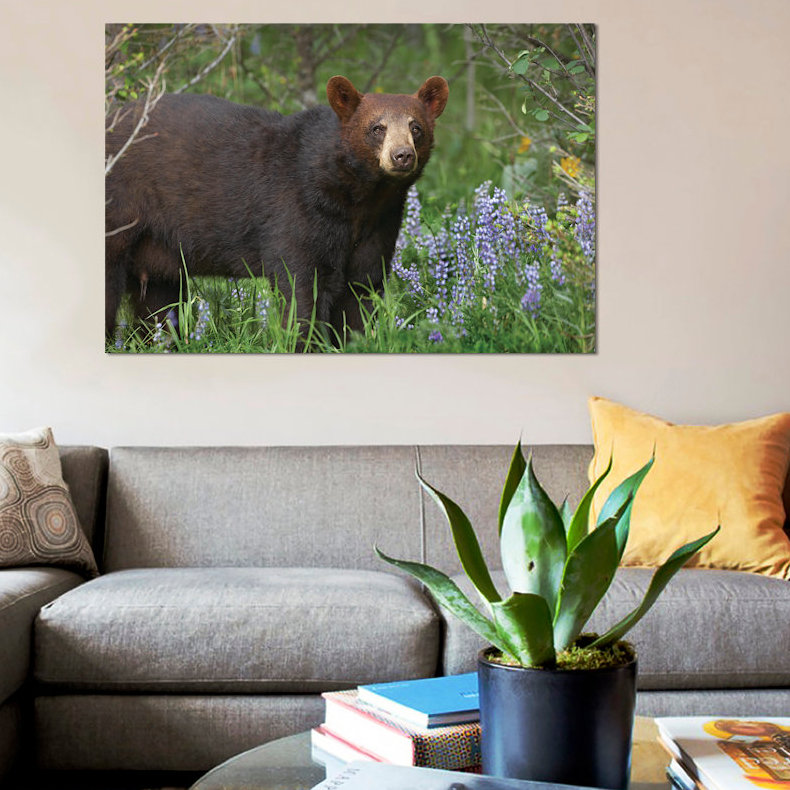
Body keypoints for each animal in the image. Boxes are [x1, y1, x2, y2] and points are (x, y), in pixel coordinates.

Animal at [105, 74, 449, 346]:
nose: (402, 155)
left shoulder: (380, 224)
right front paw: (304, 343)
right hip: (119, 211)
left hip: (156, 249)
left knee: (159, 300)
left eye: (416, 127)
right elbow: (301, 287)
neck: (358, 198)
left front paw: (356, 341)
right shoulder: (297, 210)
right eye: (377, 128)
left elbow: (362, 287)